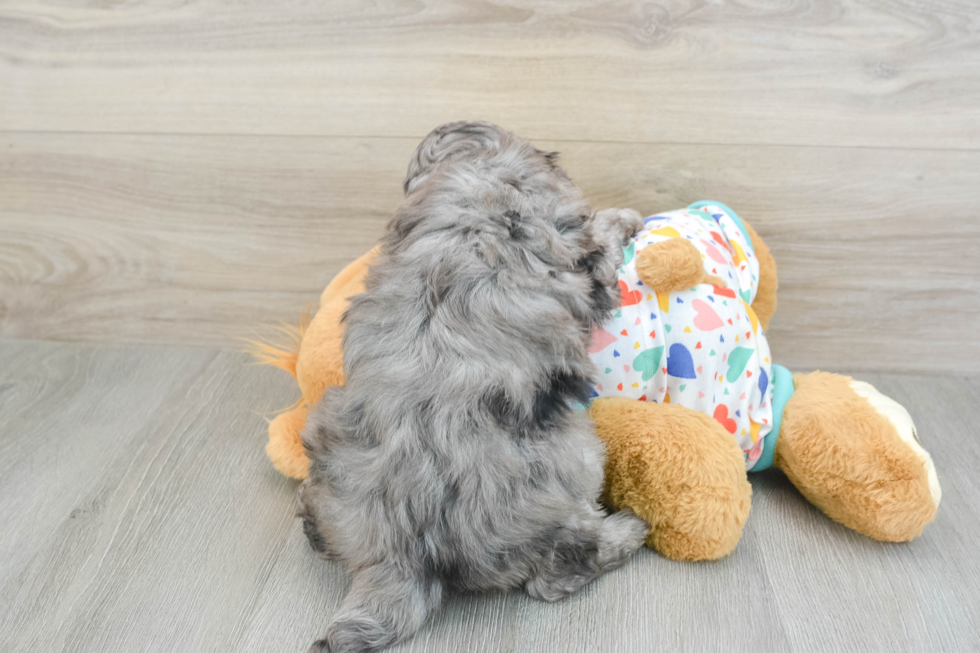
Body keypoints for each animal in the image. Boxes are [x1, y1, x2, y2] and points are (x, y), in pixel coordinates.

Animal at [299, 121, 648, 652]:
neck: (478, 185)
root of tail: (401, 553)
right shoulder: (581, 258)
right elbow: (600, 241)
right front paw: (625, 216)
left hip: (328, 426)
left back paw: (309, 520)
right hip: (573, 459)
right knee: (558, 568)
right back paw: (627, 532)